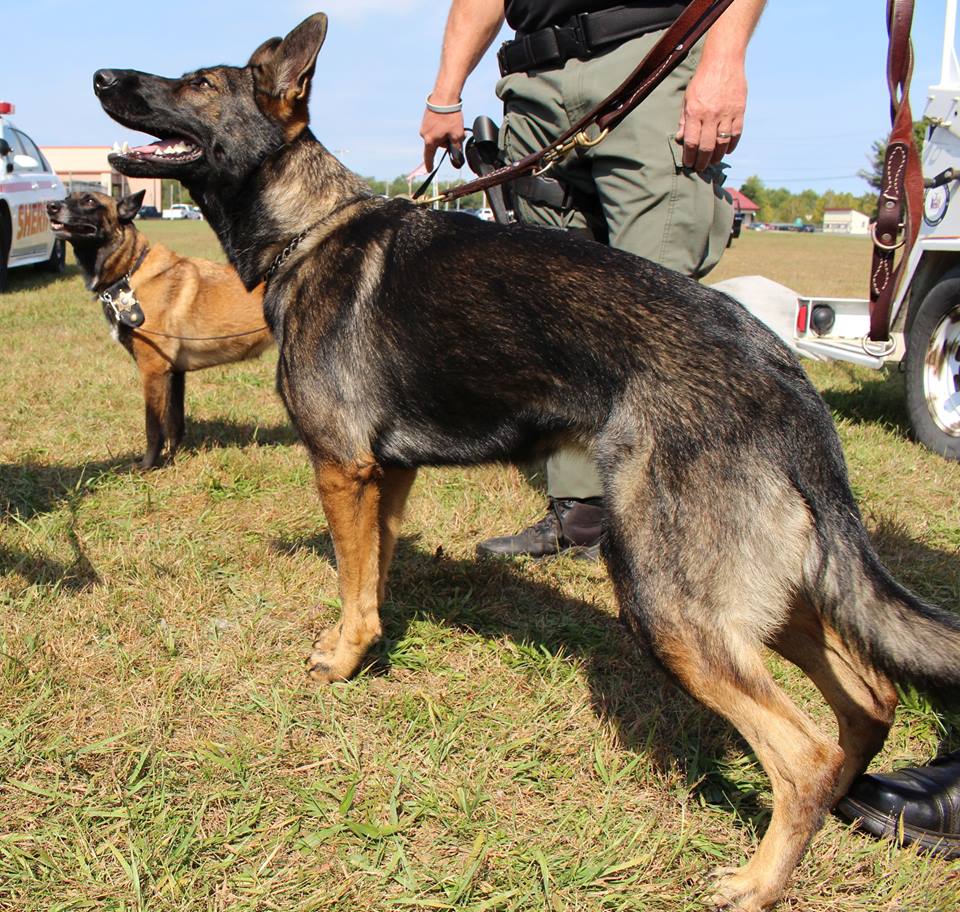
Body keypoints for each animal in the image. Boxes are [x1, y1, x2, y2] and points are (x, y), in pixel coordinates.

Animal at [47, 189, 270, 466]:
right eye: (68, 197)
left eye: (89, 201)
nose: (51, 206)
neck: (129, 272)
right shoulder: (174, 373)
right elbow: (174, 424)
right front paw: (175, 457)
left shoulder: (152, 369)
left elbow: (153, 426)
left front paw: (147, 465)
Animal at [92, 14, 960, 912]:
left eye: (198, 83)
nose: (99, 77)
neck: (309, 228)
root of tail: (785, 373)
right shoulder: (388, 478)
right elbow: (372, 575)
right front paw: (367, 646)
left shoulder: (341, 467)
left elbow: (350, 579)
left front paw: (340, 659)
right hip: (760, 589)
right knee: (872, 697)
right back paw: (841, 807)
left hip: (667, 600)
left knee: (804, 750)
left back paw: (758, 881)